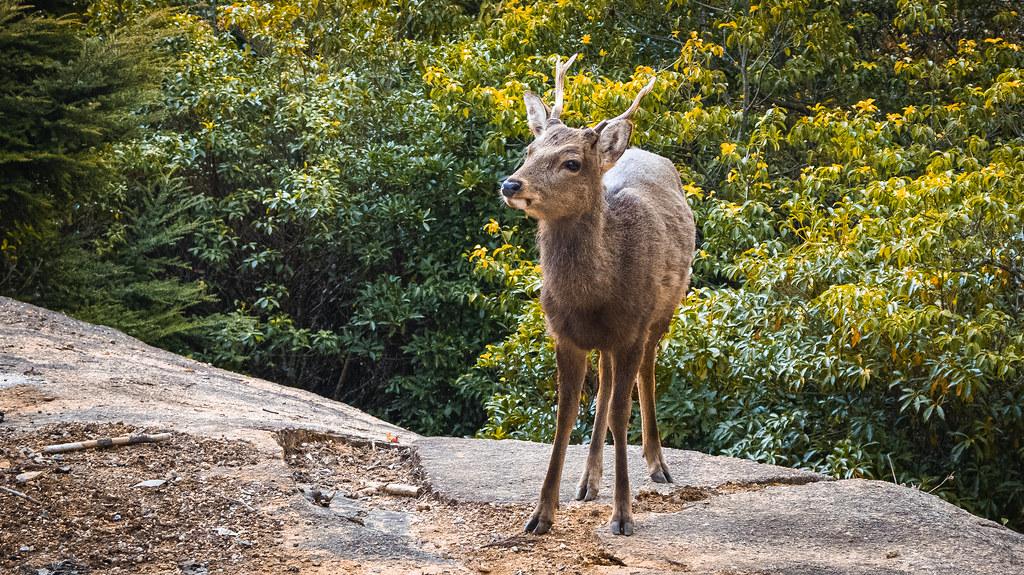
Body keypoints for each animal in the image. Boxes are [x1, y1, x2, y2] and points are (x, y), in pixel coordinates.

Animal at [499, 54, 696, 536]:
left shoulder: (631, 329)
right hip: (609, 340)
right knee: (604, 387)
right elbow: (566, 413)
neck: (594, 295)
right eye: (529, 150)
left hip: (664, 311)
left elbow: (622, 412)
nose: (511, 185)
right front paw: (541, 514)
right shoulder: (563, 334)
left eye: (571, 162)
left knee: (646, 373)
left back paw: (657, 464)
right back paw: (588, 480)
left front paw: (623, 515)